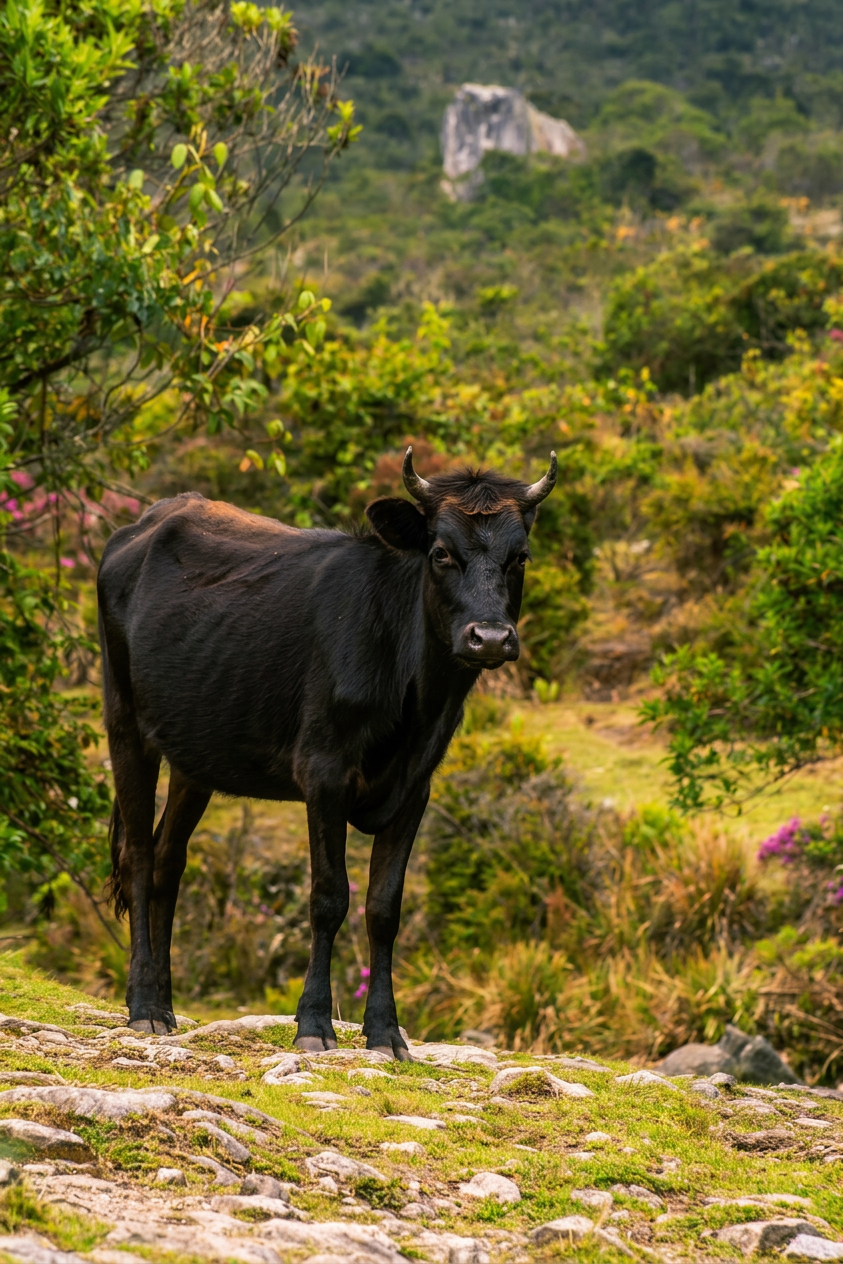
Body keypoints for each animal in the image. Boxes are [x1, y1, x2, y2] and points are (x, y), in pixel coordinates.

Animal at [97, 447, 557, 1055]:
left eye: (520, 557)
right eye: (441, 552)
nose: (491, 638)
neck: (414, 700)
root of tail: (147, 522)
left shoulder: (415, 787)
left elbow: (383, 907)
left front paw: (385, 1031)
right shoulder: (325, 772)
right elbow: (328, 897)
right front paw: (314, 1022)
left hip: (194, 754)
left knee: (169, 860)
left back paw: (168, 1006)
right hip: (126, 723)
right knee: (139, 856)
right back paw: (144, 1006)